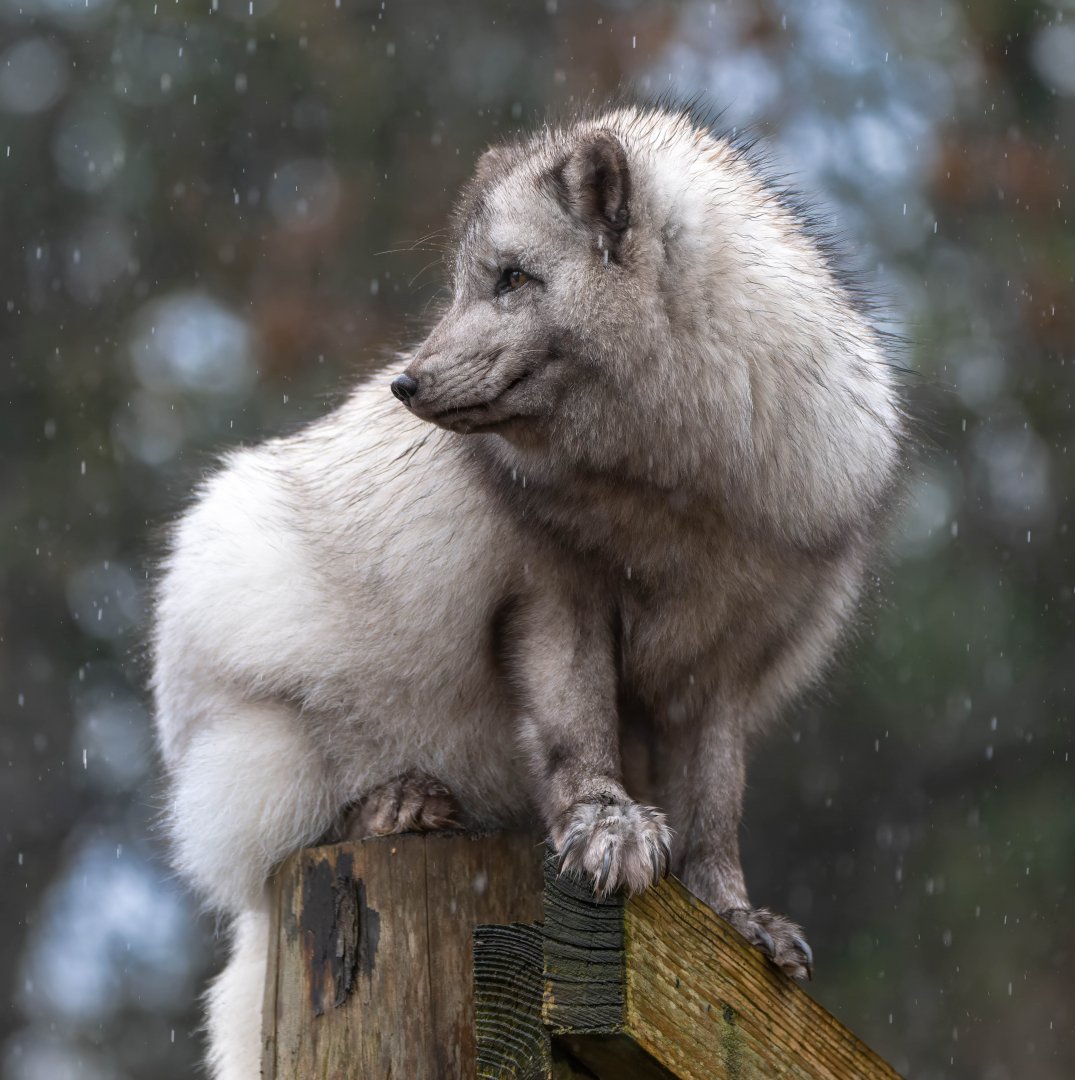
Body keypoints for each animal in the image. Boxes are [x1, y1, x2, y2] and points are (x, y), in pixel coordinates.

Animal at [152, 102, 905, 1078]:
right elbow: (576, 731)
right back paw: (397, 805)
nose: (404, 383)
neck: (675, 502)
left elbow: (715, 805)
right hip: (259, 724)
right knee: (271, 843)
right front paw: (607, 826)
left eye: (512, 278)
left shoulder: (722, 663)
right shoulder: (553, 594)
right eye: (463, 285)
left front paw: (734, 919)